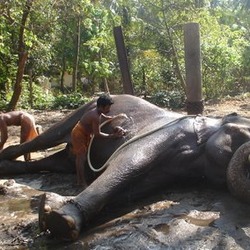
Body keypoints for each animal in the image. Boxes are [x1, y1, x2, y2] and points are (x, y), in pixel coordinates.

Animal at [0, 94, 250, 240]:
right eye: (246, 135)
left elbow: (132, 189)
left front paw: (50, 206)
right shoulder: (169, 132)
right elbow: (131, 162)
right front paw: (62, 223)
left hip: (67, 155)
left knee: (53, 162)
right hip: (80, 113)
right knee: (45, 140)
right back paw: (4, 158)